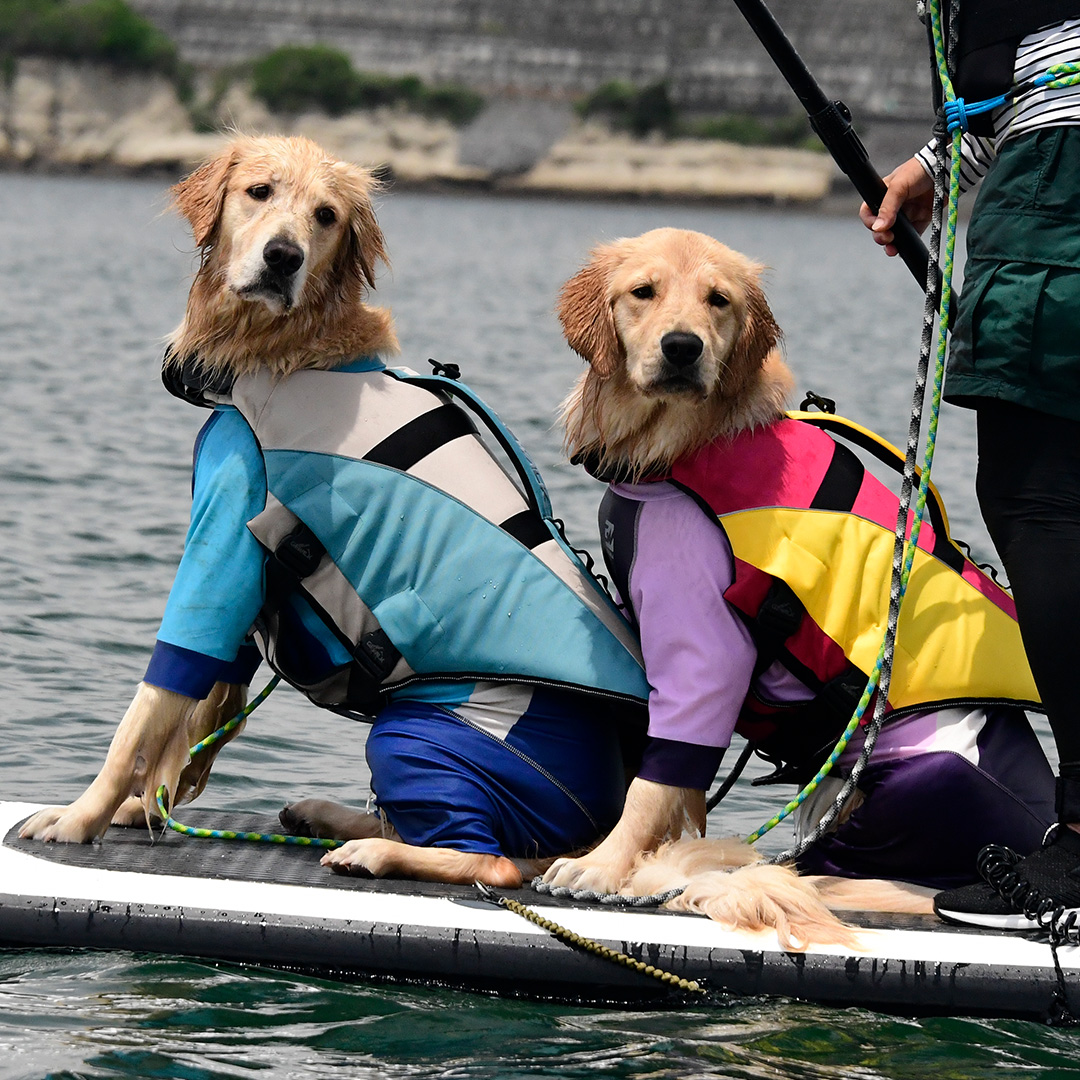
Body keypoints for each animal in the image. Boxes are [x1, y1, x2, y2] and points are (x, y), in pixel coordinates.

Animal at [19, 135, 397, 846]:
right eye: (259, 192)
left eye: (327, 216)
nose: (284, 256)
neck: (285, 350)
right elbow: (187, 721)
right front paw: (140, 808)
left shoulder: (225, 532)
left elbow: (150, 702)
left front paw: (82, 817)